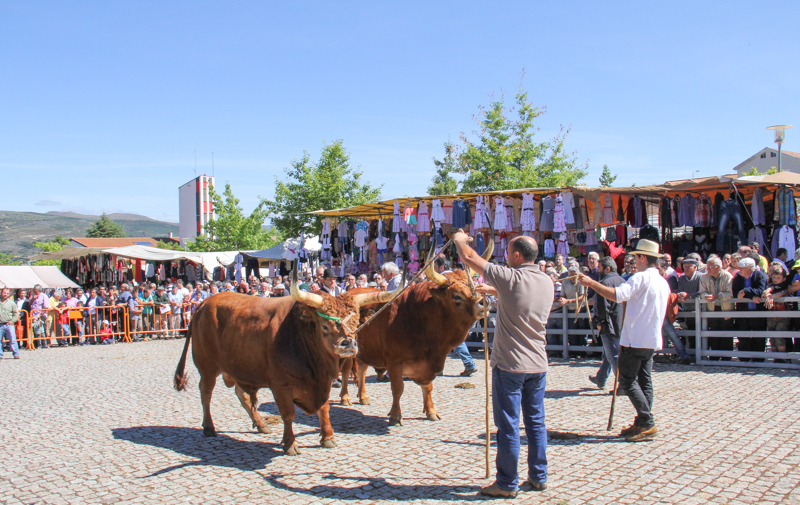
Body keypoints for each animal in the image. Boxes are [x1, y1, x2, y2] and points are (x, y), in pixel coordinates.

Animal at [174, 262, 400, 454]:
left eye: (355, 322)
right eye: (325, 326)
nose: (349, 344)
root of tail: (204, 303)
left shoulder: (323, 381)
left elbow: (324, 408)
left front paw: (327, 437)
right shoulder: (280, 385)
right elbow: (288, 413)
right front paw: (290, 443)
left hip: (242, 368)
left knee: (242, 394)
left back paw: (261, 424)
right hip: (207, 367)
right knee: (206, 393)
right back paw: (209, 427)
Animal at [340, 234, 490, 424]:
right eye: (457, 296)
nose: (484, 302)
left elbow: (428, 387)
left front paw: (431, 410)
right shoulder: (394, 362)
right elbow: (398, 388)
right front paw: (395, 415)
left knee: (362, 370)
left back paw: (363, 396)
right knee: (346, 372)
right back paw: (345, 397)